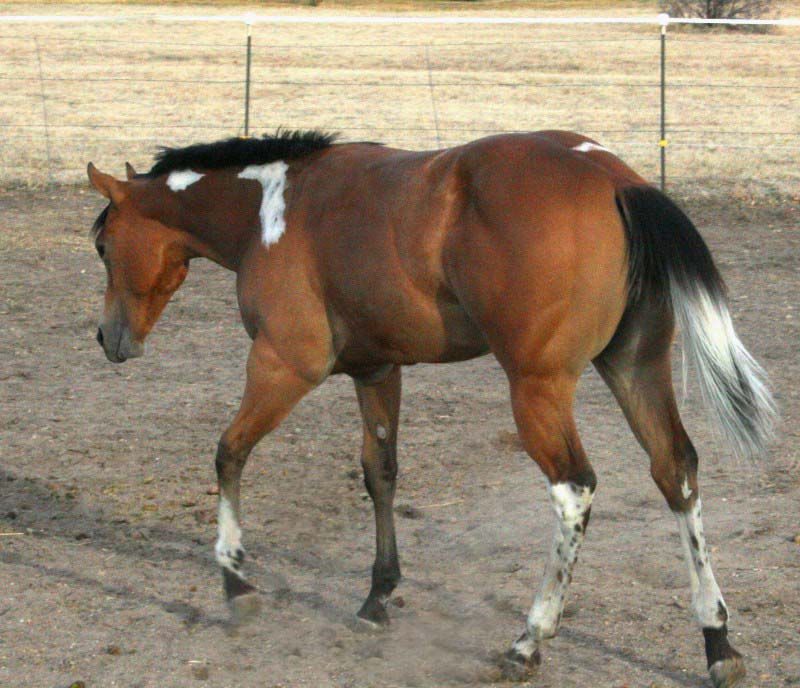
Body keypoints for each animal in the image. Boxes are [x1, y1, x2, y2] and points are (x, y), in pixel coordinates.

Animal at [87, 129, 774, 687]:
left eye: (102, 245)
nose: (108, 339)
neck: (270, 210)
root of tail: (614, 177)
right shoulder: (376, 371)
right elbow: (381, 474)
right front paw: (376, 598)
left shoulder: (284, 364)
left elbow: (229, 453)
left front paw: (234, 582)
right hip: (635, 368)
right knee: (676, 471)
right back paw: (717, 641)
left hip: (539, 388)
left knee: (574, 489)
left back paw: (529, 640)